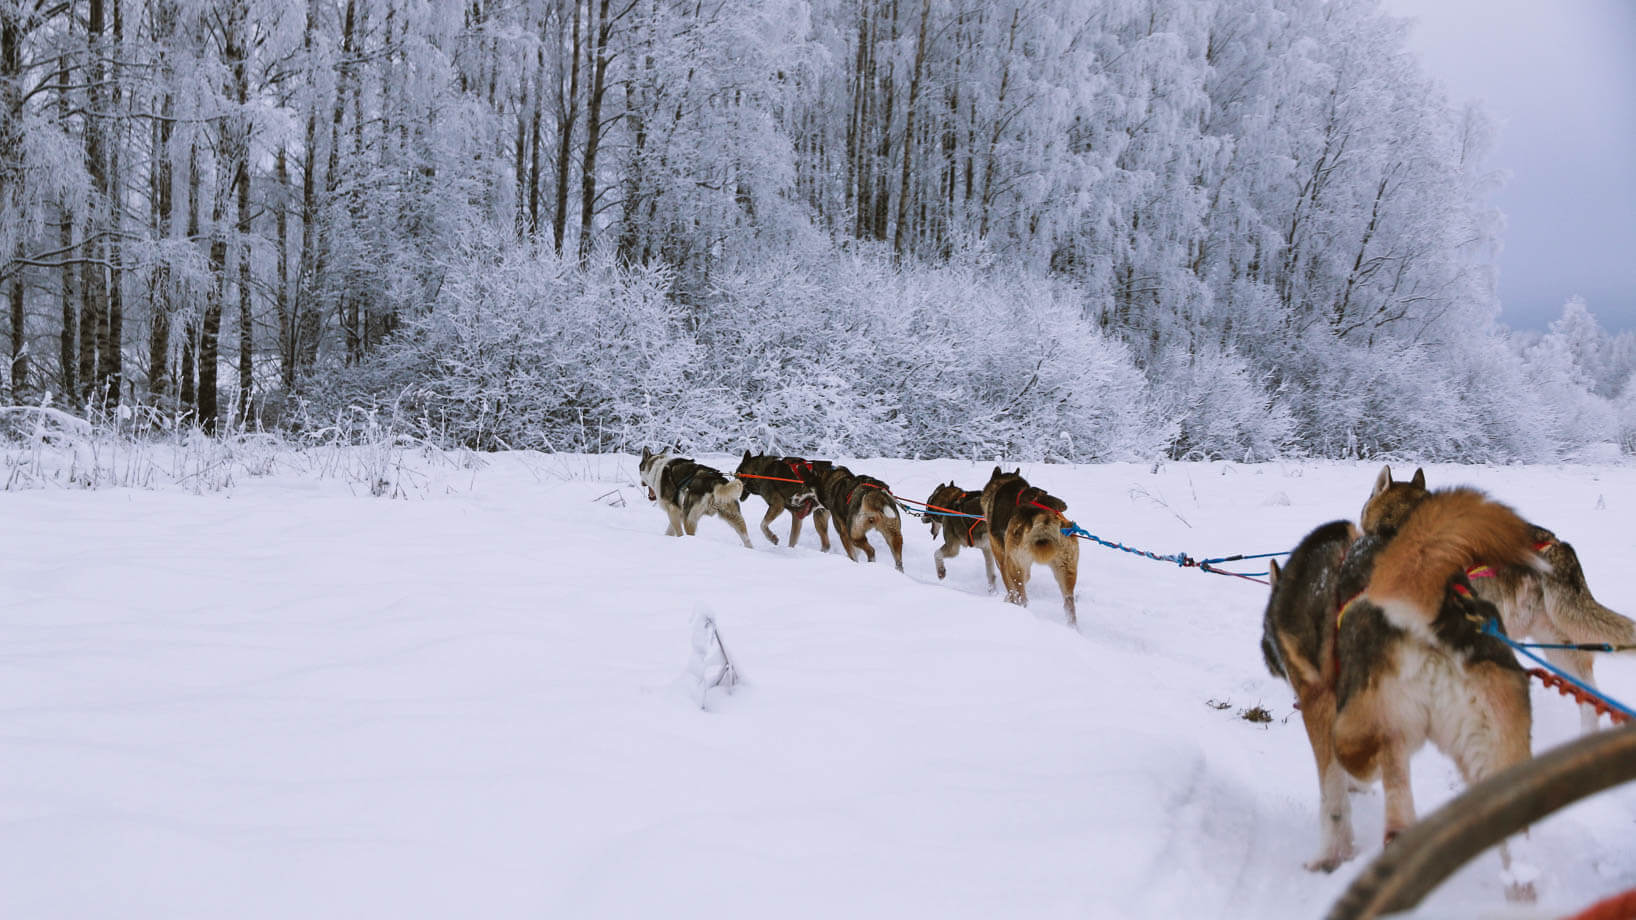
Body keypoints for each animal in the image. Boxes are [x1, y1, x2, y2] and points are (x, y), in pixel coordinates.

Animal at [975, 464, 1079, 622]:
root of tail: (1045, 516)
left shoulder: (1002, 560)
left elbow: (1010, 588)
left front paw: (1008, 600)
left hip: (1014, 564)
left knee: (1022, 597)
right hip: (1066, 570)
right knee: (1069, 605)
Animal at [1256, 510, 1537, 897]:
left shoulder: (1318, 701)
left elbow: (1333, 797)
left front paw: (1331, 856)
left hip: (1375, 728)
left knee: (1386, 801)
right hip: (1490, 754)